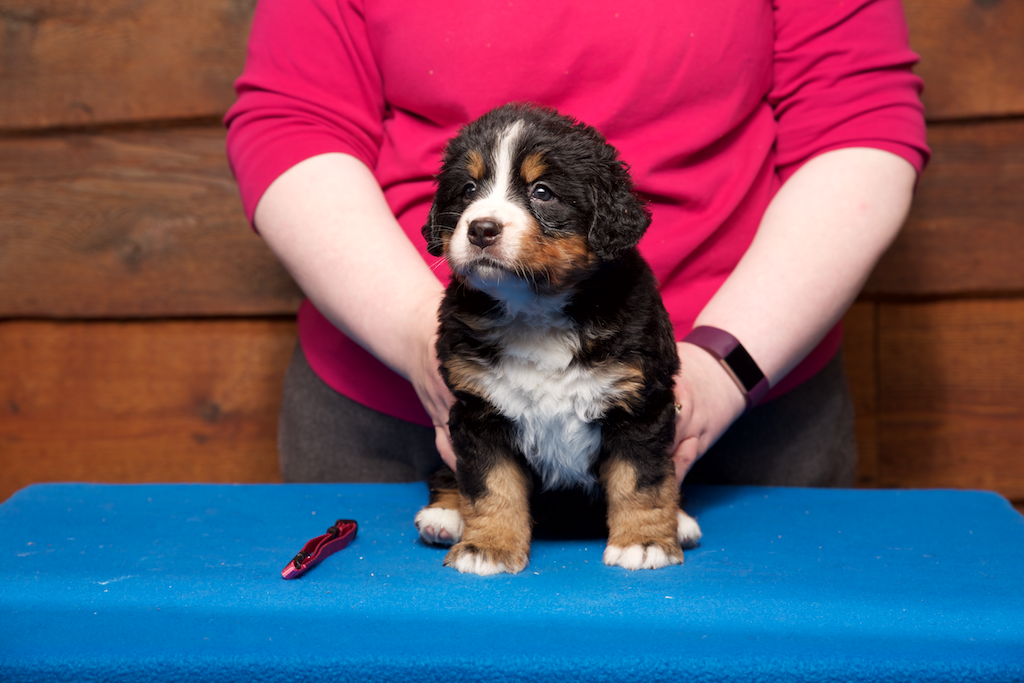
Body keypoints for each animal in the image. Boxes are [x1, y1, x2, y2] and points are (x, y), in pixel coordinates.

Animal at [416, 103, 701, 575]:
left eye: (543, 191)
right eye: (469, 189)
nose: (481, 229)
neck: (535, 310)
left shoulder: (640, 405)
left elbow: (641, 482)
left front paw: (643, 542)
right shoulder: (478, 411)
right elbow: (489, 485)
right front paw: (487, 545)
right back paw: (444, 514)